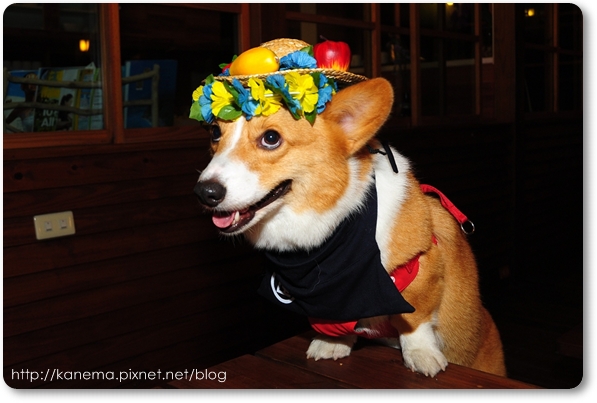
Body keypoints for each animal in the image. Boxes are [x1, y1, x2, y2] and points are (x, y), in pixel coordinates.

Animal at [193, 70, 506, 377]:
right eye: (215, 133)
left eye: (271, 138)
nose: (204, 192)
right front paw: (334, 342)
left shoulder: (423, 266)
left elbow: (414, 319)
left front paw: (420, 353)